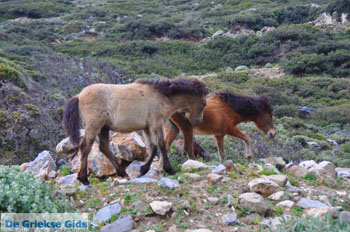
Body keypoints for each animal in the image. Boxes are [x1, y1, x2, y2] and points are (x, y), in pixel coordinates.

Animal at [63, 78, 208, 185]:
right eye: (204, 103)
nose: (199, 121)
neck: (162, 96)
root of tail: (78, 96)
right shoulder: (156, 124)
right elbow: (160, 145)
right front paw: (169, 169)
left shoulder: (147, 128)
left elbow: (153, 147)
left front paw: (143, 170)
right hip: (94, 126)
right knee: (85, 147)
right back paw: (84, 179)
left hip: (104, 128)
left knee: (104, 147)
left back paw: (123, 173)